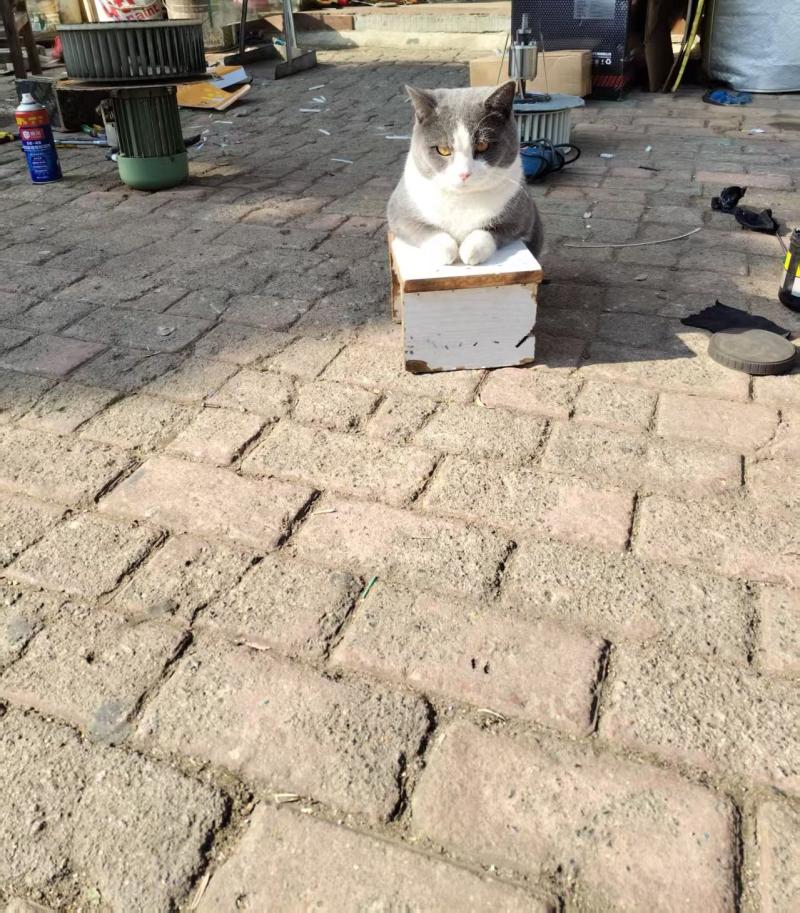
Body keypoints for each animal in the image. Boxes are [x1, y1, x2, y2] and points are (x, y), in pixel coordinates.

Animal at [387, 80, 543, 267]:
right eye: (443, 150)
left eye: (483, 145)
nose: (464, 174)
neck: (463, 198)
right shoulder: (398, 211)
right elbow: (424, 229)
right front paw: (447, 251)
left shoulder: (524, 215)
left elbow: (490, 231)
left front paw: (470, 251)